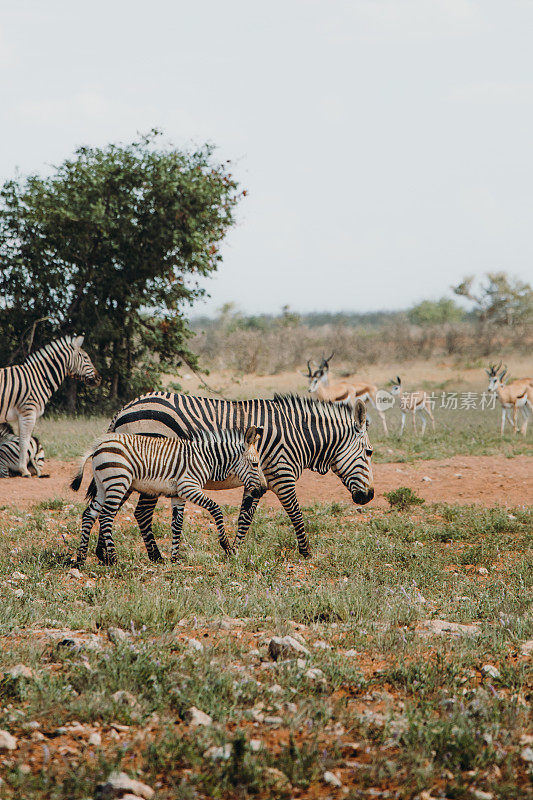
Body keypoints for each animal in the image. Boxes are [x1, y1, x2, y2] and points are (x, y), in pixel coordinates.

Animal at [0, 332, 100, 476]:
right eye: (86, 358)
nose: (99, 379)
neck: (39, 377)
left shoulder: (23, 415)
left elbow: (23, 440)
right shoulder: (28, 412)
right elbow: (24, 441)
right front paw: (24, 470)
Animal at [70, 424, 266, 568]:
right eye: (255, 465)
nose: (263, 490)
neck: (206, 459)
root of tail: (98, 446)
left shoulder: (178, 494)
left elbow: (177, 525)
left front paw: (175, 558)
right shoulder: (189, 487)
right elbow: (216, 509)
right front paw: (226, 545)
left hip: (103, 486)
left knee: (89, 514)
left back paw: (81, 559)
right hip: (118, 482)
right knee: (106, 516)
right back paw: (113, 559)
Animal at [89, 390, 372, 560]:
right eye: (369, 452)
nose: (368, 497)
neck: (297, 435)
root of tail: (126, 407)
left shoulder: (257, 480)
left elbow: (245, 517)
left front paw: (233, 551)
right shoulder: (281, 475)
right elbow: (295, 513)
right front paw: (306, 552)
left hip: (131, 474)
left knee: (108, 509)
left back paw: (102, 554)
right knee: (139, 513)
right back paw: (153, 557)